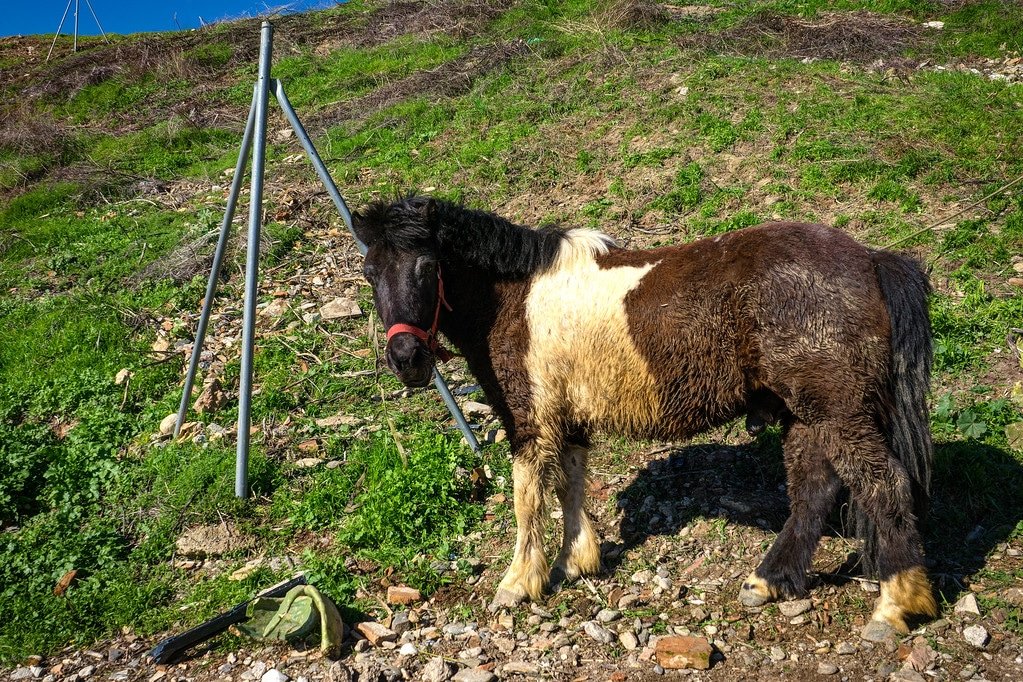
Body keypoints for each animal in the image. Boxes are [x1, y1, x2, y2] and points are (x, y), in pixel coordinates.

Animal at [352, 195, 938, 640]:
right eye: (370, 271)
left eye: (428, 266)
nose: (406, 359)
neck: (515, 297)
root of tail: (870, 260)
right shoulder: (569, 422)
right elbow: (569, 485)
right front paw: (576, 560)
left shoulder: (531, 422)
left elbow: (527, 498)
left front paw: (519, 582)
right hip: (807, 415)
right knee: (814, 492)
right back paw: (770, 581)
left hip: (837, 412)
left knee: (882, 485)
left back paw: (894, 605)